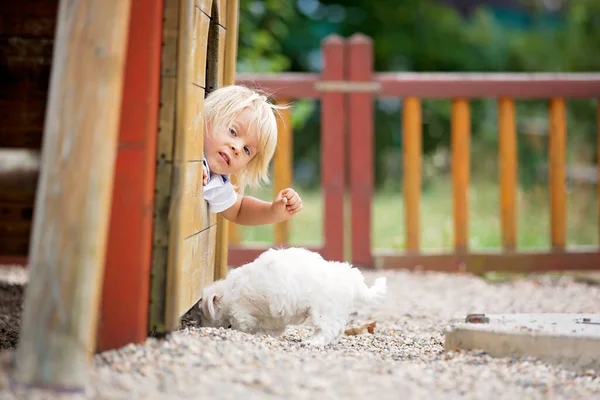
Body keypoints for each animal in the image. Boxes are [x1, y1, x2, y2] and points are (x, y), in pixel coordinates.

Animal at [195, 247, 386, 346]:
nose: (201, 325)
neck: (230, 291)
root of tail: (350, 277)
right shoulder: (273, 316)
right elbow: (272, 327)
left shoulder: (243, 308)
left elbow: (242, 321)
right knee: (337, 329)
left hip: (323, 310)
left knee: (327, 329)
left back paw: (313, 342)